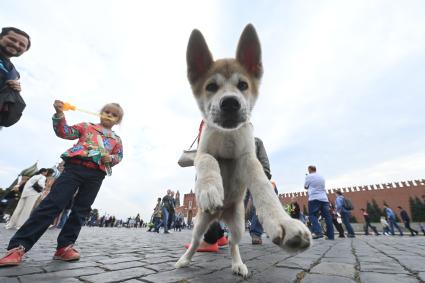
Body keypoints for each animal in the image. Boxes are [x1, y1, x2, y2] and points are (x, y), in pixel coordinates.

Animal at [176, 23, 312, 278]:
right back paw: (184, 260)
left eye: (243, 85)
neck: (227, 135)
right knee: (197, 240)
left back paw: (238, 264)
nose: (230, 102)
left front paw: (284, 223)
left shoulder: (248, 159)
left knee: (233, 242)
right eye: (211, 87)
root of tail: (220, 215)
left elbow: (263, 187)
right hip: (200, 221)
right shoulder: (202, 153)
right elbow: (209, 160)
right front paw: (210, 189)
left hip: (239, 223)